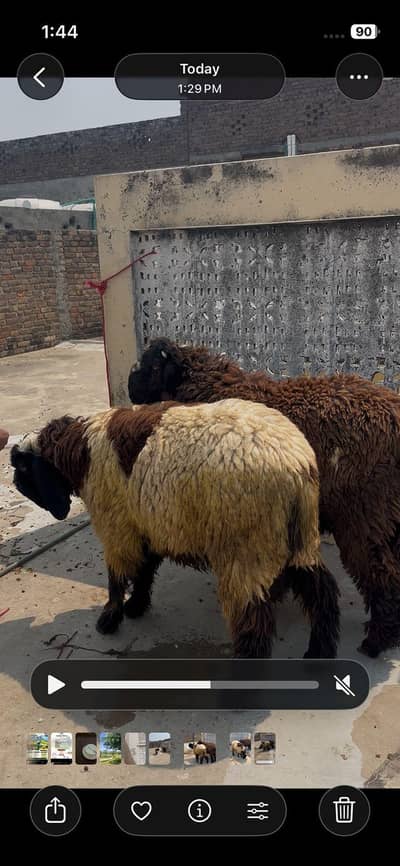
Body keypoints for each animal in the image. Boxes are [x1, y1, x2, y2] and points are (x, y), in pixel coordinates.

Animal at [10, 398, 339, 658]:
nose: (14, 484)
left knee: (253, 622)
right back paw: (318, 652)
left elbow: (117, 577)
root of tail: (295, 464)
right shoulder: (147, 522)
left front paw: (109, 619)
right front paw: (136, 606)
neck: (81, 451)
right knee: (321, 591)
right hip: (298, 535)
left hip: (245, 546)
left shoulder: (116, 526)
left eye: (23, 471)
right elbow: (144, 569)